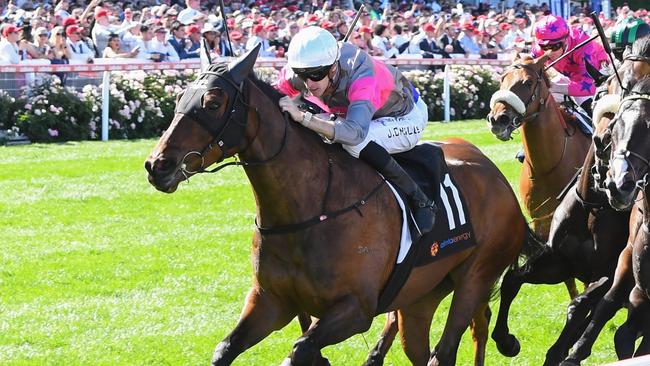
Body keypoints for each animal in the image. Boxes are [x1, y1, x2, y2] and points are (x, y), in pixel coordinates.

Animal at [144, 47, 540, 364]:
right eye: (180, 98)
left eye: (213, 103)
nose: (157, 165)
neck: (308, 208)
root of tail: (496, 177)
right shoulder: (270, 302)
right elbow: (225, 348)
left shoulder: (355, 309)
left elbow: (300, 349)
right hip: (421, 295)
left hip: (475, 276)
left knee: (448, 345)